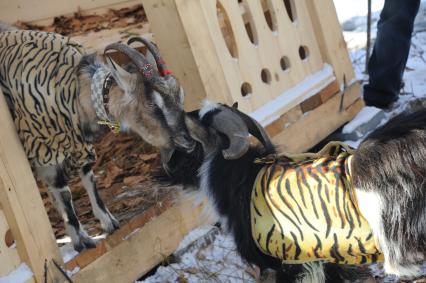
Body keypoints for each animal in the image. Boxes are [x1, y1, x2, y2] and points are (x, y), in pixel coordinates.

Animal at [0, 28, 193, 251]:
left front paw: (108, 222)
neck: (76, 93)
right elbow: (64, 192)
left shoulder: (81, 148)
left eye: (181, 96)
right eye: (153, 104)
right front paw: (81, 240)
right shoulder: (44, 148)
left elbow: (89, 179)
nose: (188, 141)